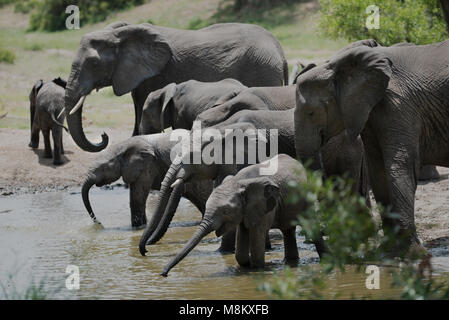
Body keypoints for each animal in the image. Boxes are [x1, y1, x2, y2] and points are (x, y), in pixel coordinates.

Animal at [63, 21, 288, 153]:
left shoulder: (154, 75)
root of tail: (280, 50)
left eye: (93, 63)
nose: (103, 136)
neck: (119, 33)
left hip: (262, 71)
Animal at [81, 131, 213, 229]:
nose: (99, 223)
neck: (122, 146)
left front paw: (137, 228)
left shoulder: (147, 165)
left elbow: (137, 198)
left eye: (103, 167)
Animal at [159, 154, 328, 276]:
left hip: (307, 198)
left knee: (311, 226)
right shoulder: (246, 211)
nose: (163, 274)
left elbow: (257, 241)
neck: (238, 182)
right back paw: (291, 262)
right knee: (288, 230)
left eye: (226, 211)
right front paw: (246, 265)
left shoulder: (263, 206)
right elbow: (240, 247)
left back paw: (325, 259)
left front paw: (256, 268)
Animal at [292, 38, 449, 255]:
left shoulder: (399, 104)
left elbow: (399, 166)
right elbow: (378, 170)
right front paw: (388, 250)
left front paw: (415, 254)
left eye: (311, 113)